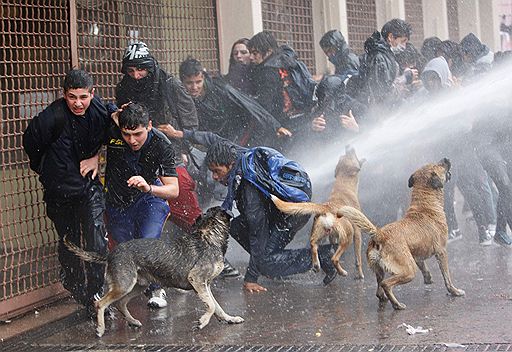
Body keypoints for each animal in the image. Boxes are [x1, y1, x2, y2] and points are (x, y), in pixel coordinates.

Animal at [64, 206, 244, 338]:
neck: (209, 236)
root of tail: (110, 254)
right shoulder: (197, 279)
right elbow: (212, 305)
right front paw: (203, 321)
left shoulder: (205, 285)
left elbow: (217, 306)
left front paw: (229, 319)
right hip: (124, 285)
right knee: (100, 303)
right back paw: (100, 329)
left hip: (137, 286)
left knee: (120, 303)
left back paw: (133, 321)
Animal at [272, 147, 364, 282]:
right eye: (350, 155)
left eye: (343, 155)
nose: (349, 146)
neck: (343, 184)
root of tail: (326, 207)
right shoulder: (357, 234)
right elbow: (358, 259)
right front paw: (360, 275)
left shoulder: (333, 237)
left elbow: (332, 246)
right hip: (347, 236)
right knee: (334, 258)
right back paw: (341, 272)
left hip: (319, 233)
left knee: (313, 245)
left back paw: (317, 265)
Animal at [338, 158, 466, 310]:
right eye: (439, 165)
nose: (446, 159)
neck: (425, 204)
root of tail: (379, 234)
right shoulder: (441, 252)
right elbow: (447, 276)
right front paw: (454, 291)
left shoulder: (416, 256)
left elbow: (424, 267)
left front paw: (428, 278)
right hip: (409, 270)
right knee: (386, 284)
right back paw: (397, 304)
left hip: (380, 269)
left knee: (379, 288)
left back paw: (384, 299)